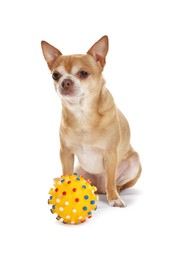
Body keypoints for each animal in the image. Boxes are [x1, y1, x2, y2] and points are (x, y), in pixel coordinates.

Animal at [41, 36, 142, 207]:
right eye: (56, 75)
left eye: (83, 73)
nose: (65, 82)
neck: (82, 114)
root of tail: (98, 187)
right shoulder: (66, 153)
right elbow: (66, 173)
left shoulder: (110, 154)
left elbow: (111, 179)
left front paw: (114, 199)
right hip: (80, 169)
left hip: (134, 162)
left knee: (113, 183)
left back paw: (114, 191)